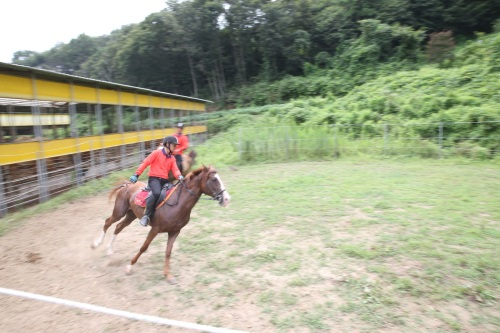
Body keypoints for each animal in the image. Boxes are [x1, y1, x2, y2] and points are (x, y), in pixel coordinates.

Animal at [91, 163, 231, 282]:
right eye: (214, 179)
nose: (226, 199)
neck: (177, 203)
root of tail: (127, 185)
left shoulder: (174, 232)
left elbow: (168, 252)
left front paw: (168, 275)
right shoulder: (155, 229)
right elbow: (144, 247)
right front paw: (130, 267)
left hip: (130, 215)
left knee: (118, 227)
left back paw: (109, 251)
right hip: (119, 212)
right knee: (107, 223)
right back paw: (96, 244)